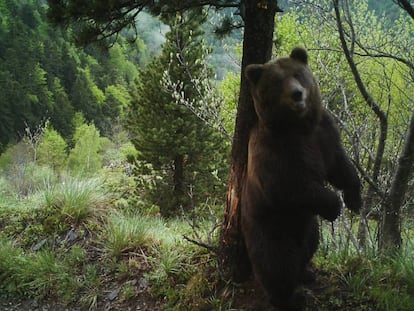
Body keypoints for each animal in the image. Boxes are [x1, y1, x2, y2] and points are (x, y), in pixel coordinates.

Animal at [241, 47, 360, 311]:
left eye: (297, 74)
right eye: (277, 82)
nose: (297, 94)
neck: (298, 126)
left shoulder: (323, 132)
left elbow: (340, 165)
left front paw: (354, 199)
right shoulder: (275, 152)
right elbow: (289, 186)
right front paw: (334, 206)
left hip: (308, 226)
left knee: (310, 244)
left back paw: (306, 273)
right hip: (269, 228)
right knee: (277, 265)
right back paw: (288, 297)